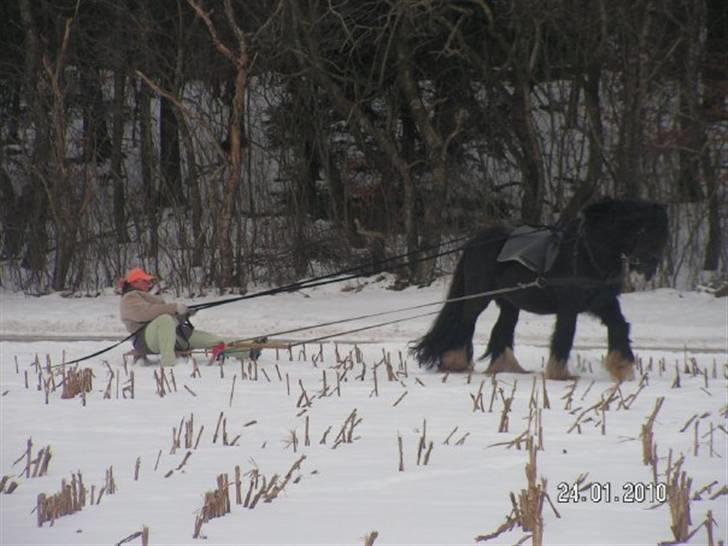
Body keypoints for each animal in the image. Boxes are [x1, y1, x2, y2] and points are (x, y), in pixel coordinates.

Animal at [412, 198, 668, 380]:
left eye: (661, 232)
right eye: (641, 230)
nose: (649, 266)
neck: (586, 252)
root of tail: (475, 241)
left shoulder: (604, 303)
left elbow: (620, 326)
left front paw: (623, 368)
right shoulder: (569, 307)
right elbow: (564, 334)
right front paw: (560, 375)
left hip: (509, 302)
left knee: (501, 329)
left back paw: (507, 369)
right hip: (478, 297)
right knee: (467, 322)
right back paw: (455, 364)